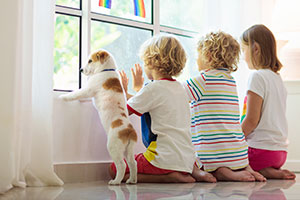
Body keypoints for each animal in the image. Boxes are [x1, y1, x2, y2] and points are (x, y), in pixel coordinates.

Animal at [59, 49, 138, 184]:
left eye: (90, 61)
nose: (80, 69)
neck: (106, 70)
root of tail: (129, 130)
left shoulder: (88, 90)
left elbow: (76, 94)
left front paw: (63, 97)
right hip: (129, 150)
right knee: (133, 163)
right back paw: (132, 180)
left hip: (113, 147)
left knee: (122, 165)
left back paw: (115, 181)